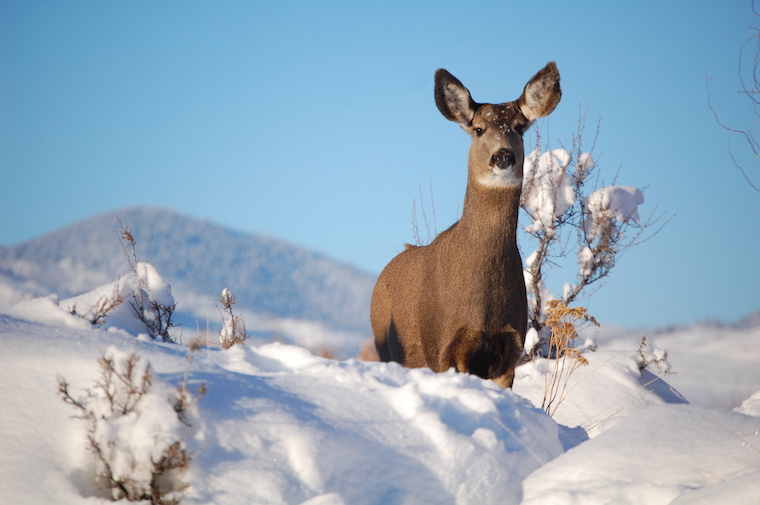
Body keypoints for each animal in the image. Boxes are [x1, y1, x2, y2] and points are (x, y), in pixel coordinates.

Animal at [370, 62, 561, 388]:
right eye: (479, 129)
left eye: (519, 127)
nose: (503, 156)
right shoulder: (443, 346)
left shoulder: (509, 349)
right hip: (388, 347)